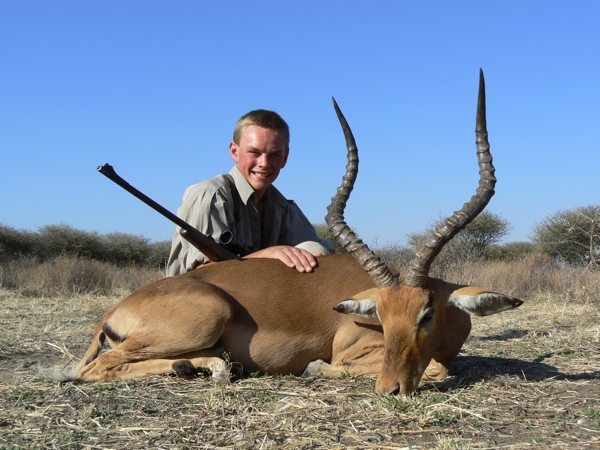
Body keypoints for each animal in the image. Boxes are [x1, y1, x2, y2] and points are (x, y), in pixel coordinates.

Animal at [47, 69, 523, 395]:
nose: (390, 389)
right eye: (382, 319)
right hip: (204, 317)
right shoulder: (350, 349)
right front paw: (315, 368)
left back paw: (205, 367)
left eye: (426, 313)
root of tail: (116, 310)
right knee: (94, 368)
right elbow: (439, 367)